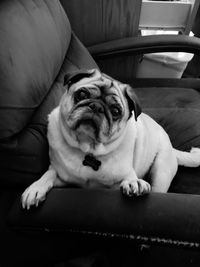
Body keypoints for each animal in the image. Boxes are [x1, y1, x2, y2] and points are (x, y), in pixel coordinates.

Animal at [21, 68, 200, 209]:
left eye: (115, 111)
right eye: (82, 94)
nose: (96, 106)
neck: (88, 149)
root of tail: (171, 147)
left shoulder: (123, 176)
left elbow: (129, 177)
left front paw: (134, 183)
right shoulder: (60, 175)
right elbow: (48, 175)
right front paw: (35, 188)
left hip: (161, 171)